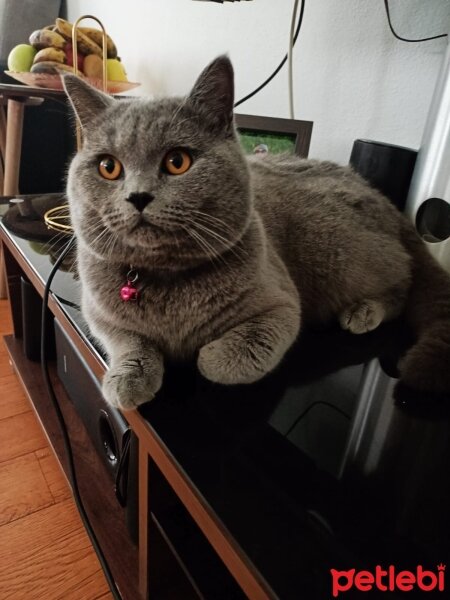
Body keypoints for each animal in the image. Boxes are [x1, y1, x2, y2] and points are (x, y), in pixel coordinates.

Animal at [63, 56, 450, 410]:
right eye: (108, 167)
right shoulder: (96, 311)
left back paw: (362, 312)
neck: (166, 280)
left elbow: (226, 359)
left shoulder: (281, 307)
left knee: (401, 286)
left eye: (177, 161)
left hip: (337, 251)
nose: (138, 195)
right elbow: (127, 340)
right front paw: (126, 381)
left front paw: (202, 354)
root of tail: (379, 195)